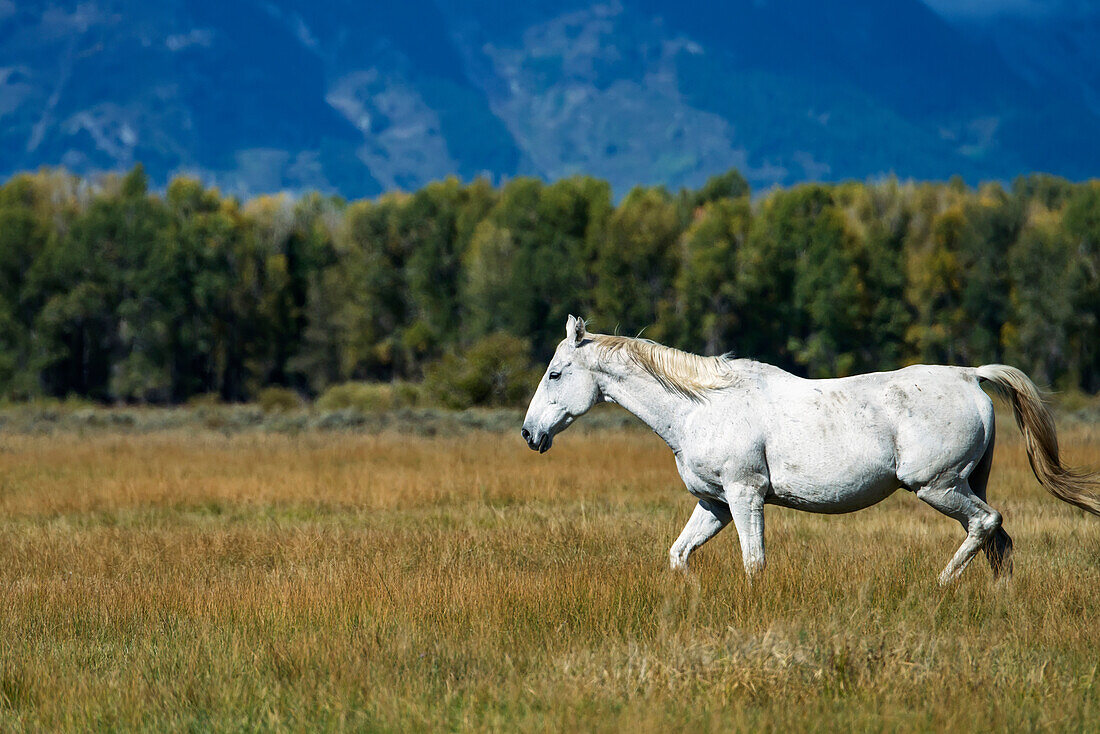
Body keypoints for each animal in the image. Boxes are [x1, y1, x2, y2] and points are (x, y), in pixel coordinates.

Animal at [521, 316, 1100, 585]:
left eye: (555, 373)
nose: (530, 434)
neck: (702, 407)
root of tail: (969, 375)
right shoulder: (714, 504)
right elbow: (679, 555)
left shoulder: (745, 496)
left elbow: (754, 562)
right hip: (966, 483)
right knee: (999, 540)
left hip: (937, 486)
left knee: (986, 525)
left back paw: (938, 586)